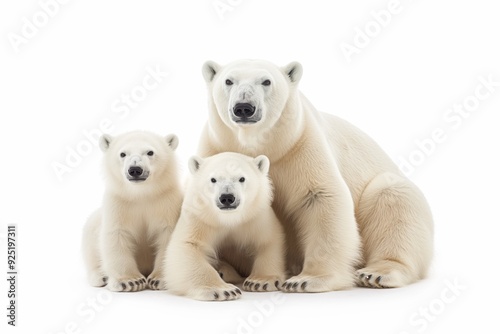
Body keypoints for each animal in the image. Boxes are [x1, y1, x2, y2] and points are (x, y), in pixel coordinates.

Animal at [82, 130, 182, 292]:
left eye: (150, 152)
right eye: (123, 153)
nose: (135, 170)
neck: (141, 194)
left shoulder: (166, 202)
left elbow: (166, 235)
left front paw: (158, 280)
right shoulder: (119, 203)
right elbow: (116, 234)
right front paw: (130, 281)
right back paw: (101, 276)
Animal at [165, 153, 286, 302]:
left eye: (241, 178)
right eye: (213, 179)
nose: (227, 197)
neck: (229, 218)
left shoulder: (255, 217)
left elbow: (267, 240)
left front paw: (260, 281)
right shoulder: (201, 217)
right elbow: (188, 245)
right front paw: (223, 290)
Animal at [198, 58, 434, 290]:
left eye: (266, 81)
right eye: (228, 81)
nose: (244, 107)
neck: (261, 145)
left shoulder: (301, 145)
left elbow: (321, 197)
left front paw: (306, 279)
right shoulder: (215, 148)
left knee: (393, 196)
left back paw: (376, 273)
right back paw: (225, 270)